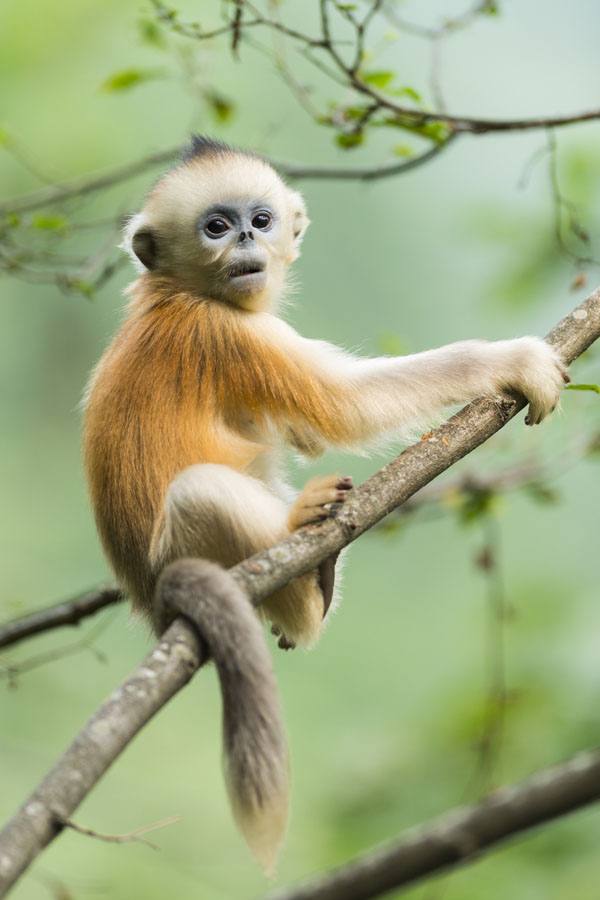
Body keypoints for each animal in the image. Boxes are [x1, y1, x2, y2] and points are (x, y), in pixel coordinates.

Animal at [82, 137, 568, 876]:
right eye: (215, 227)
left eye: (260, 219)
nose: (246, 244)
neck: (175, 294)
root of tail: (153, 599)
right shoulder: (227, 333)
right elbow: (345, 408)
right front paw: (517, 361)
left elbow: (309, 432)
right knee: (203, 493)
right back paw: (307, 571)